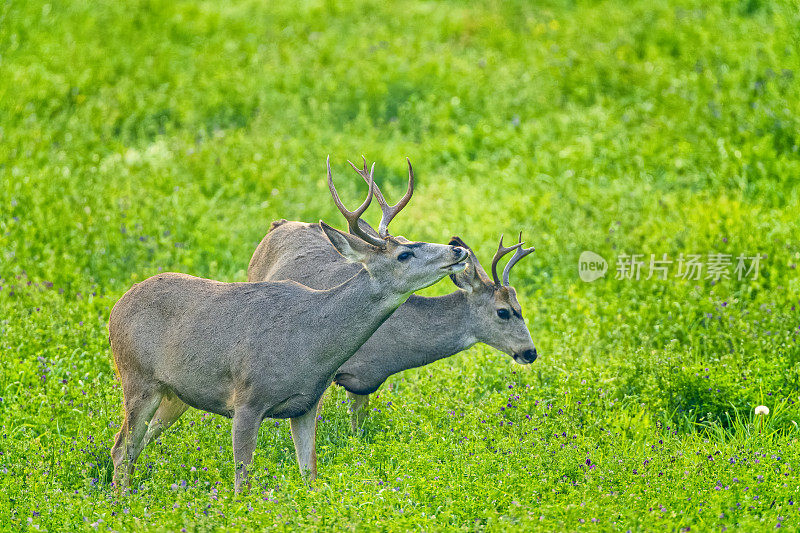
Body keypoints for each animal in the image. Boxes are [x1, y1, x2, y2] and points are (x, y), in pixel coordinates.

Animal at [106, 157, 468, 490]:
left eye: (408, 238)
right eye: (403, 255)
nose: (458, 250)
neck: (307, 343)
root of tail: (117, 306)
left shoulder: (307, 404)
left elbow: (310, 474)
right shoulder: (246, 399)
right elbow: (242, 481)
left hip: (173, 392)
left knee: (135, 444)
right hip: (137, 376)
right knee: (122, 447)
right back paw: (121, 501)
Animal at [250, 158, 536, 432]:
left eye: (520, 307)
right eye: (503, 312)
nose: (531, 352)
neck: (389, 351)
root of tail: (277, 224)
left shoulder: (363, 383)